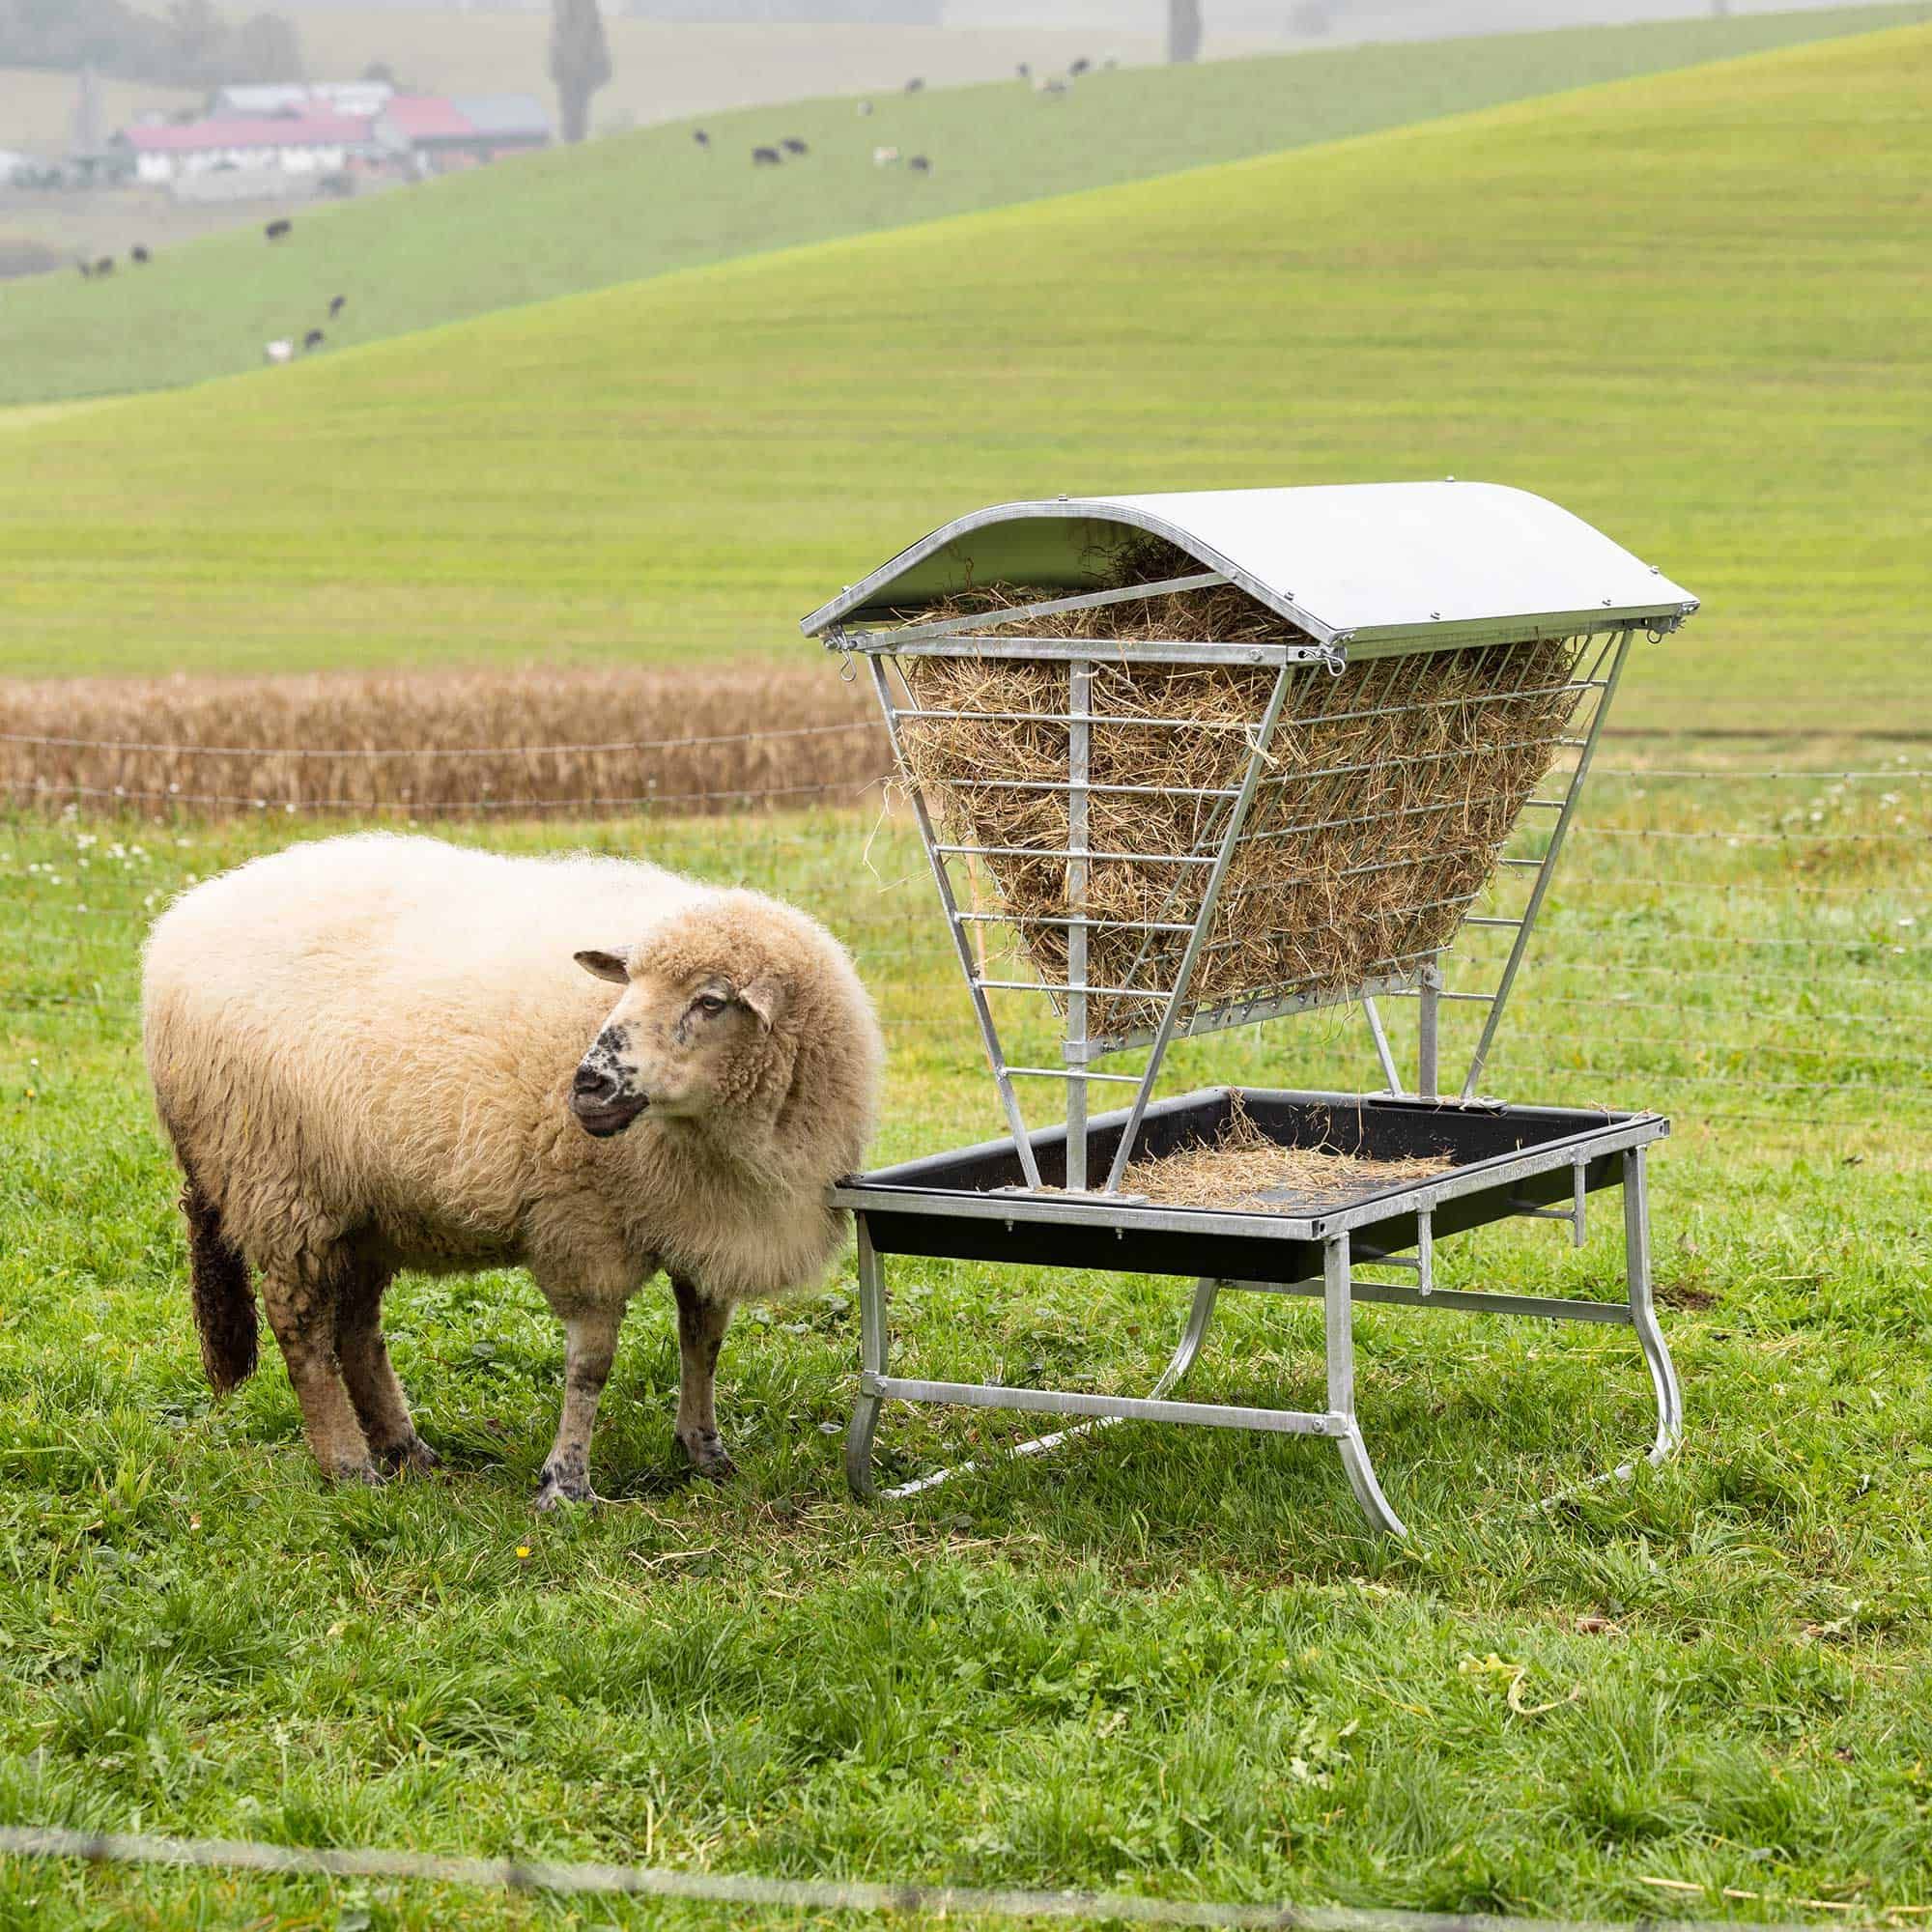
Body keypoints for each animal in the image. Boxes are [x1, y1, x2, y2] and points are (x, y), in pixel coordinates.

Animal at [142, 834, 883, 1506]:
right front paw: (566, 1483)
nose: (587, 1085)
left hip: (361, 1201)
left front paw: (704, 1450)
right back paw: (349, 1467)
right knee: (302, 1328)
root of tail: (178, 925)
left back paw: (406, 1450)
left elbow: (703, 1342)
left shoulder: (705, 1220)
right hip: (278, 1182)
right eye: (629, 983)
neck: (718, 1137)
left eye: (711, 1001)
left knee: (355, 1327)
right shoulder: (583, 1227)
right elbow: (590, 1366)